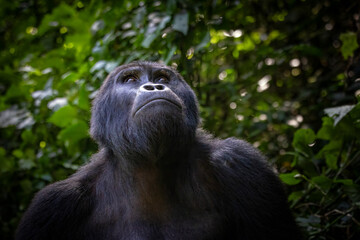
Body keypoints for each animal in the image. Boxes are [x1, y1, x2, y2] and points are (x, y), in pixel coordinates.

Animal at [17, 62, 304, 240]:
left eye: (162, 78)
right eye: (130, 79)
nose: (154, 87)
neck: (149, 168)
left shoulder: (240, 163)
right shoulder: (53, 207)